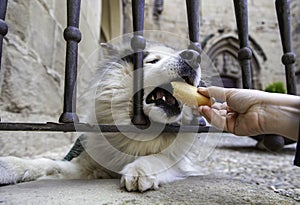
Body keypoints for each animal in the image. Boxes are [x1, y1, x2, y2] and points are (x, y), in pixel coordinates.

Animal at [0, 43, 207, 192]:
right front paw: (10, 166)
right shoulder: (86, 166)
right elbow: (49, 163)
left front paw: (140, 170)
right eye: (153, 61)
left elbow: (162, 158)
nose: (194, 56)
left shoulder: (178, 162)